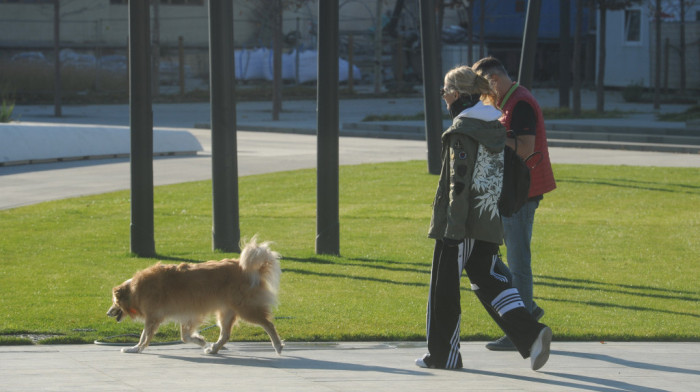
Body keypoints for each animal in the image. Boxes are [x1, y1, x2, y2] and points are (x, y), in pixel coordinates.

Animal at [106, 237, 282, 354]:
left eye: (114, 302)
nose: (108, 313)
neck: (134, 290)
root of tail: (252, 270)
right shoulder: (188, 314)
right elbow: (185, 337)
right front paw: (202, 341)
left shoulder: (153, 317)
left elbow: (144, 336)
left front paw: (135, 348)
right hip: (225, 312)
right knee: (225, 335)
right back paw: (213, 349)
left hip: (246, 309)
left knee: (268, 324)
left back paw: (278, 346)